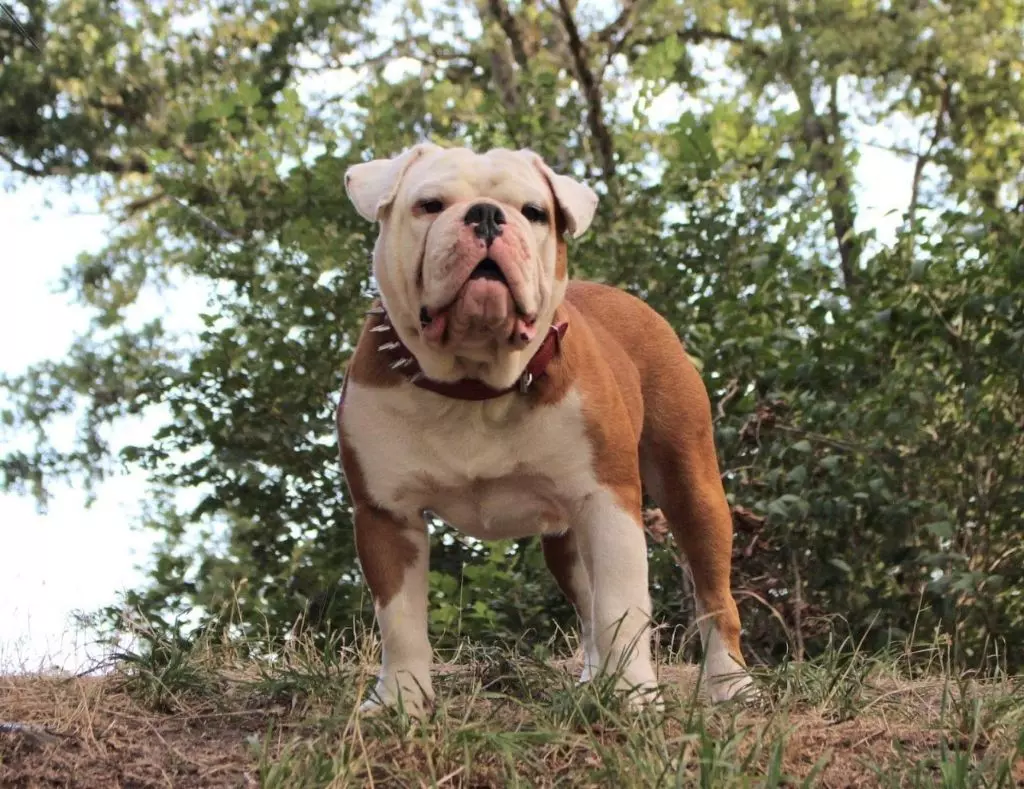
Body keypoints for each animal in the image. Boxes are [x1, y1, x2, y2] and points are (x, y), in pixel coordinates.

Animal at [335, 142, 753, 716]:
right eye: (429, 205)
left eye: (534, 212)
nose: (487, 215)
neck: (475, 384)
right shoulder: (385, 513)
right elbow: (399, 619)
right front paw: (400, 700)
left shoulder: (608, 499)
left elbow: (623, 602)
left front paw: (635, 696)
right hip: (567, 540)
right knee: (590, 608)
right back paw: (596, 680)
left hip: (691, 487)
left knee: (712, 594)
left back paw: (731, 684)